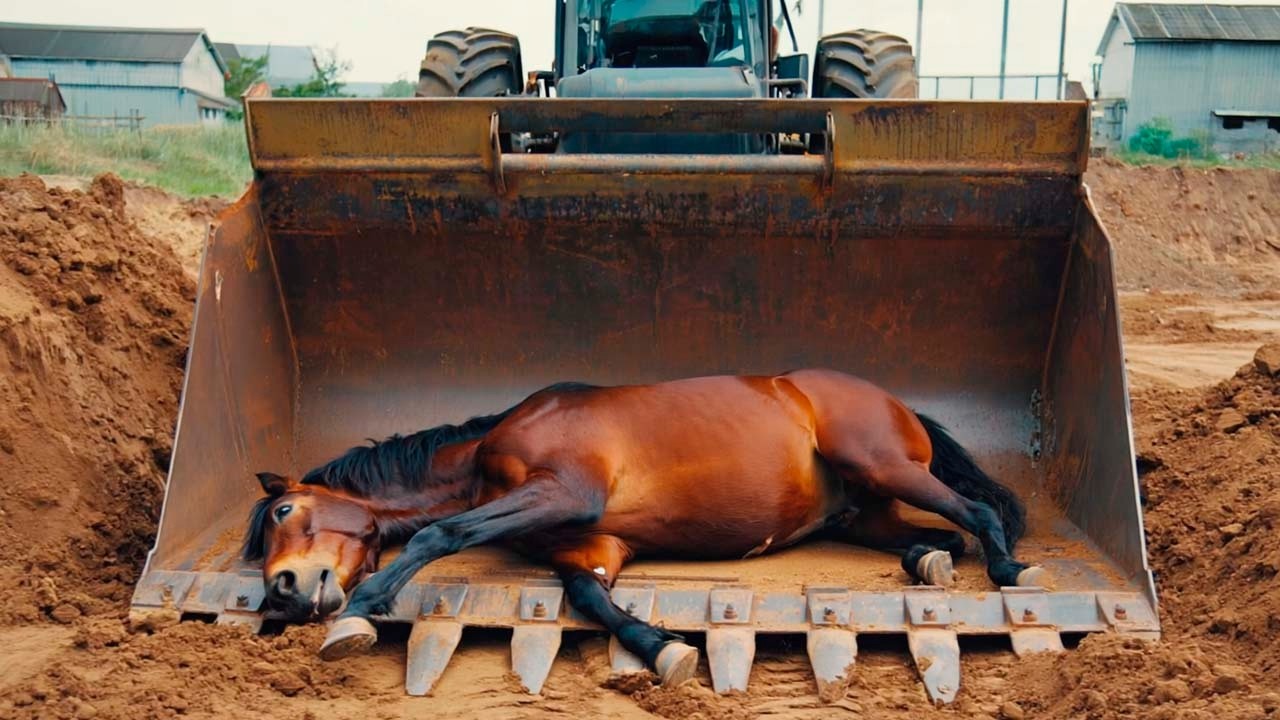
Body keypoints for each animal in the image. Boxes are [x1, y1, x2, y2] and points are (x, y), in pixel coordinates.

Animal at [243, 368, 1045, 686]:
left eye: (285, 512)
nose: (282, 591)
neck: (483, 458)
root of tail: (895, 400)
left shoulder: (565, 493)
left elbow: (440, 536)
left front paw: (360, 612)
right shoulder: (589, 544)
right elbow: (592, 599)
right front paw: (663, 648)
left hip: (881, 464)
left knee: (974, 515)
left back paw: (1011, 571)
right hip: (863, 510)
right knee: (941, 538)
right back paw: (929, 563)